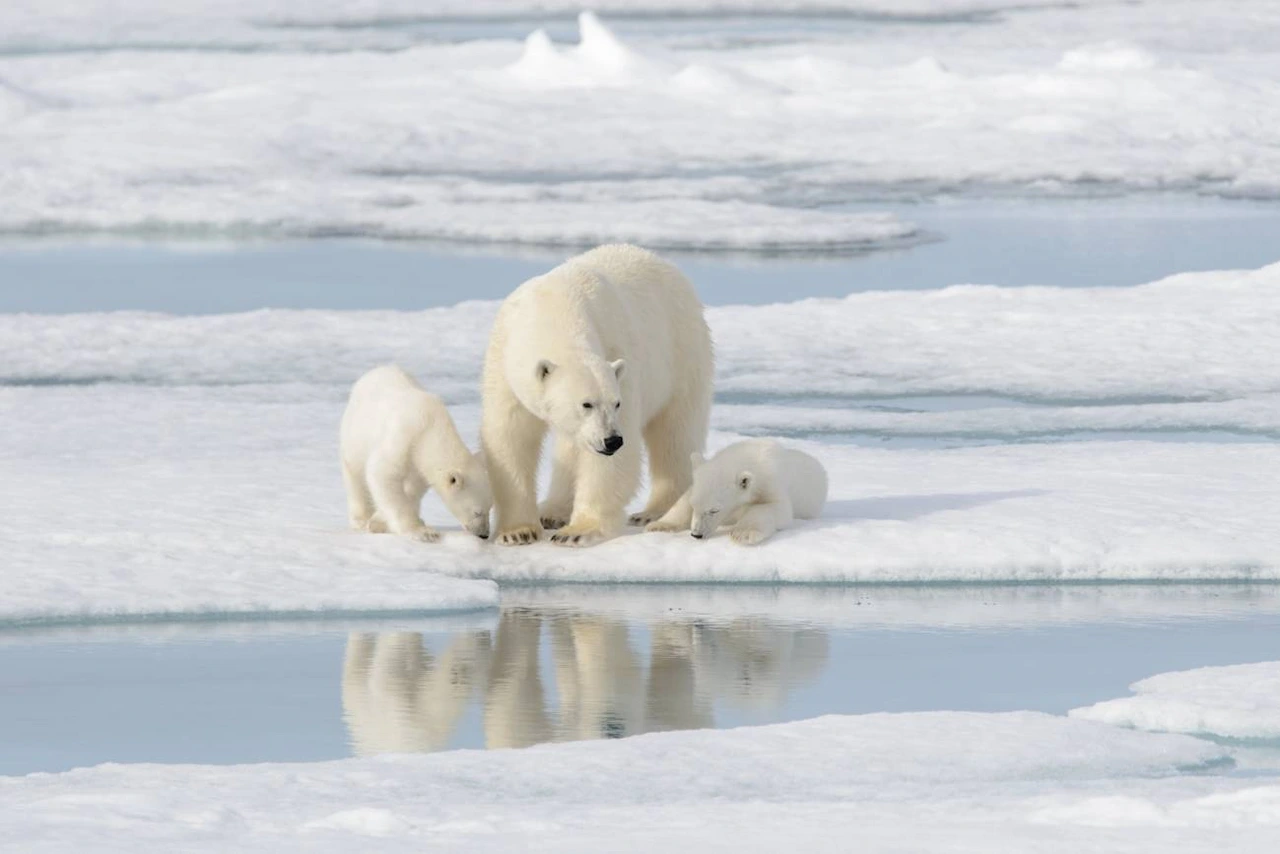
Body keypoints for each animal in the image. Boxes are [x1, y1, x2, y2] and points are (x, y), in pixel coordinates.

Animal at [337, 363, 491, 537]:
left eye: (490, 508)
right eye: (477, 511)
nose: (484, 534)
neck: (430, 429)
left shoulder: (419, 466)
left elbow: (412, 489)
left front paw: (381, 521)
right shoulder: (403, 438)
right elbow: (382, 473)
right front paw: (422, 532)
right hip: (355, 434)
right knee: (355, 475)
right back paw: (360, 520)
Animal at [483, 243, 716, 547]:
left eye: (616, 404)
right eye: (586, 404)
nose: (612, 440)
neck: (554, 310)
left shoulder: (618, 357)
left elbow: (612, 464)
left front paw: (577, 531)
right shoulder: (504, 362)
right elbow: (509, 436)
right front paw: (517, 531)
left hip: (681, 354)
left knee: (674, 434)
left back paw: (653, 512)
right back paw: (552, 511)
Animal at [650, 440, 829, 547]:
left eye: (714, 510)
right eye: (694, 505)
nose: (696, 534)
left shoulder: (772, 485)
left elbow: (773, 508)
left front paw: (742, 534)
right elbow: (685, 499)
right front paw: (659, 525)